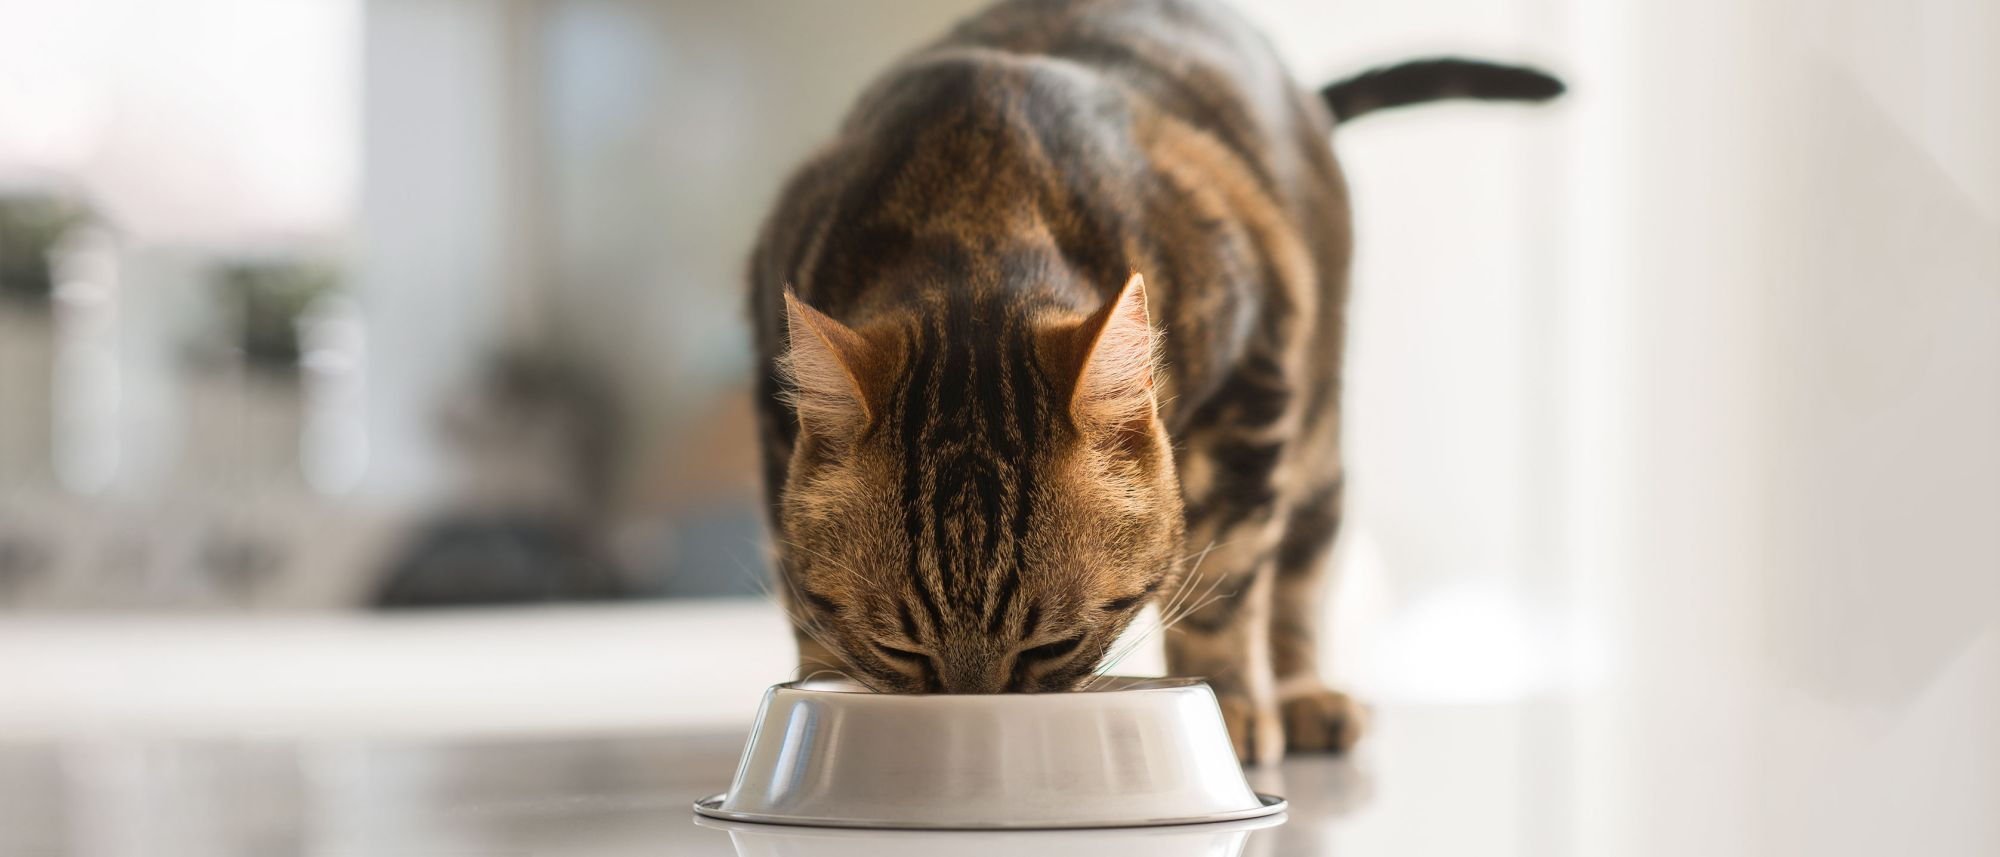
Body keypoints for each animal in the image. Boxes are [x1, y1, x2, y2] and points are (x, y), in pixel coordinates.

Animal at [752, 0, 1560, 764]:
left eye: (1051, 645)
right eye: (901, 650)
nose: (977, 722)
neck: (977, 203)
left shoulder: (1254, 385)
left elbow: (1227, 582)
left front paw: (1231, 706)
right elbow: (801, 593)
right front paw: (819, 681)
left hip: (1317, 441)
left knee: (1299, 574)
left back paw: (1302, 693)